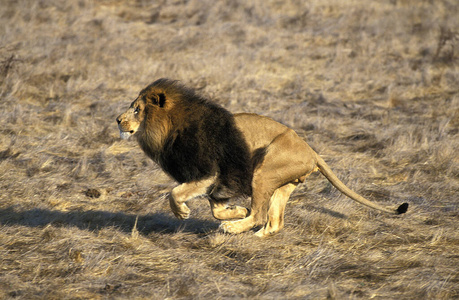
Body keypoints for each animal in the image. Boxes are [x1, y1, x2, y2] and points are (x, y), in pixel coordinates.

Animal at [116, 78, 410, 238]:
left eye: (137, 109)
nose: (118, 120)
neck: (167, 128)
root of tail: (312, 152)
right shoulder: (218, 182)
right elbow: (215, 207)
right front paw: (236, 211)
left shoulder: (208, 172)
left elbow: (175, 193)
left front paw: (183, 212)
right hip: (280, 183)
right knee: (274, 222)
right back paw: (253, 233)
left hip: (263, 171)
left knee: (260, 215)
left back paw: (233, 229)